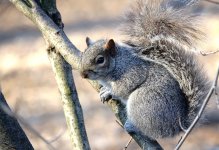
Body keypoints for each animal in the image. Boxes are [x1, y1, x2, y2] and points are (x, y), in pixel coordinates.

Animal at [78, 0, 210, 139]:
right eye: (84, 53)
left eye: (100, 60)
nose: (82, 74)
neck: (118, 61)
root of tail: (177, 126)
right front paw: (104, 89)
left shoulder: (132, 71)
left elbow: (124, 87)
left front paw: (109, 91)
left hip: (144, 102)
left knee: (150, 131)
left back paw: (133, 126)